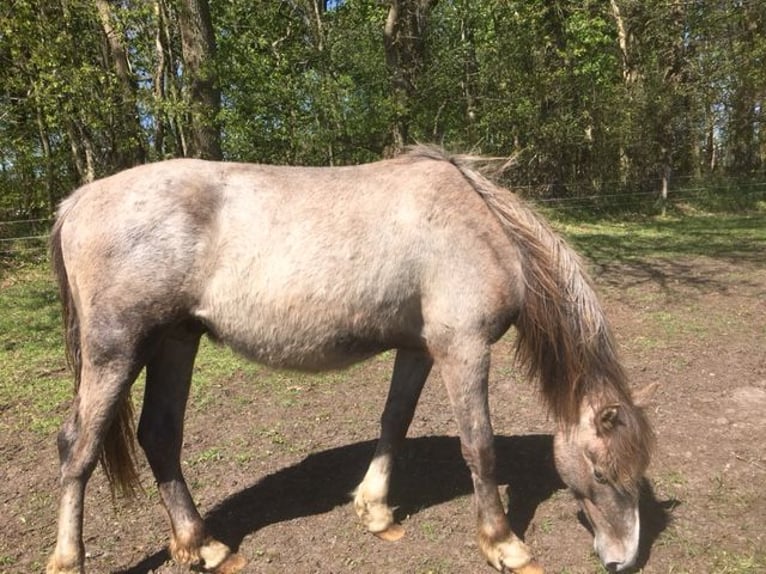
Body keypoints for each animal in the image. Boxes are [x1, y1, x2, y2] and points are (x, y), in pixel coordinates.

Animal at [47, 146, 655, 574]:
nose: (622, 558)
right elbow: (479, 447)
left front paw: (375, 511)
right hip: (117, 349)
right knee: (79, 447)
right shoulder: (463, 348)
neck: (478, 225)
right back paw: (68, 558)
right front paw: (505, 545)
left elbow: (394, 422)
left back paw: (205, 546)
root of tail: (76, 202)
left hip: (176, 340)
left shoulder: (418, 349)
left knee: (160, 436)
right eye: (602, 472)